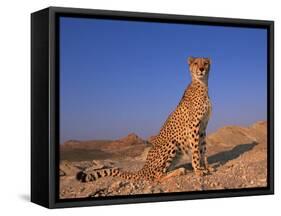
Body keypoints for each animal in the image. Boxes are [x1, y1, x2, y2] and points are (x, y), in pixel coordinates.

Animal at [76, 56, 212, 183]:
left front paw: (207, 167)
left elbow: (203, 148)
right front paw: (198, 170)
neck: (202, 84)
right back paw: (179, 171)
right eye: (196, 63)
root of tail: (143, 168)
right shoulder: (194, 126)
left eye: (205, 63)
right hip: (171, 143)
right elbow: (196, 150)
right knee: (156, 177)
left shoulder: (203, 127)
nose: (201, 69)